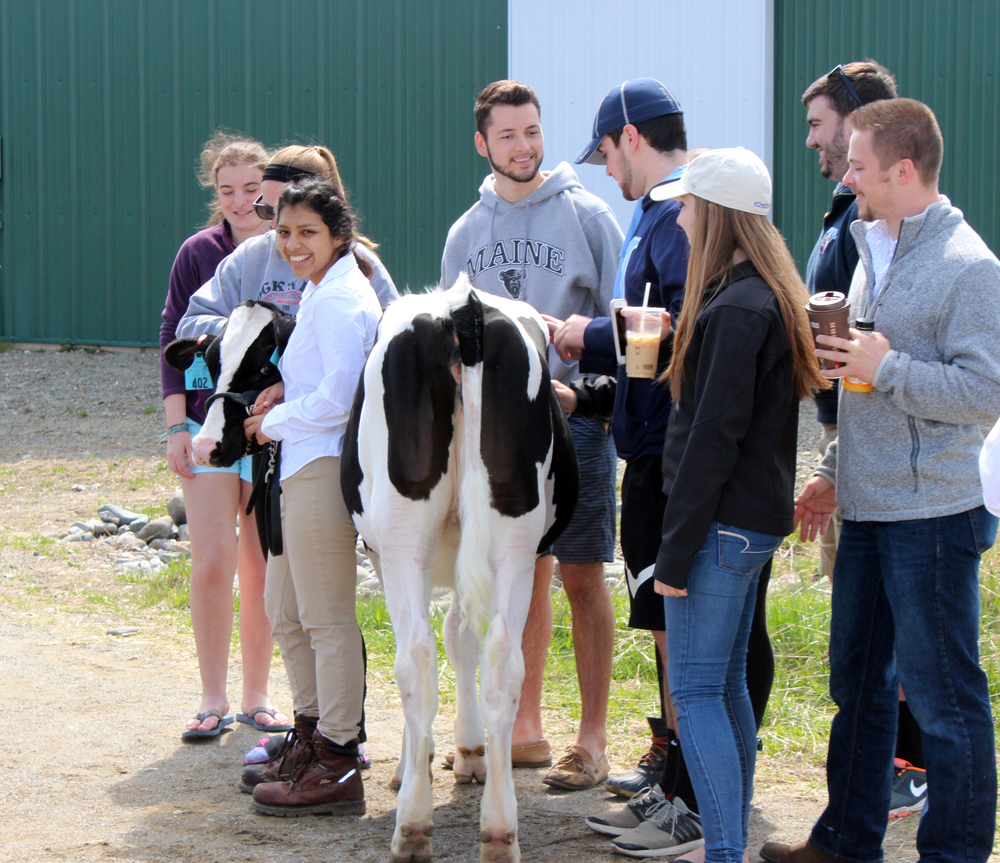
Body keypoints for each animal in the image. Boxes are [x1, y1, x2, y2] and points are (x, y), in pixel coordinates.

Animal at [342, 276, 580, 863]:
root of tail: (461, 308)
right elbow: (461, 639)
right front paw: (470, 752)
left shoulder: (382, 555)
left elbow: (440, 642)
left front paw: (419, 764)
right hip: (513, 540)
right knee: (503, 662)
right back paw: (498, 829)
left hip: (402, 539)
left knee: (414, 659)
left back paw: (412, 824)